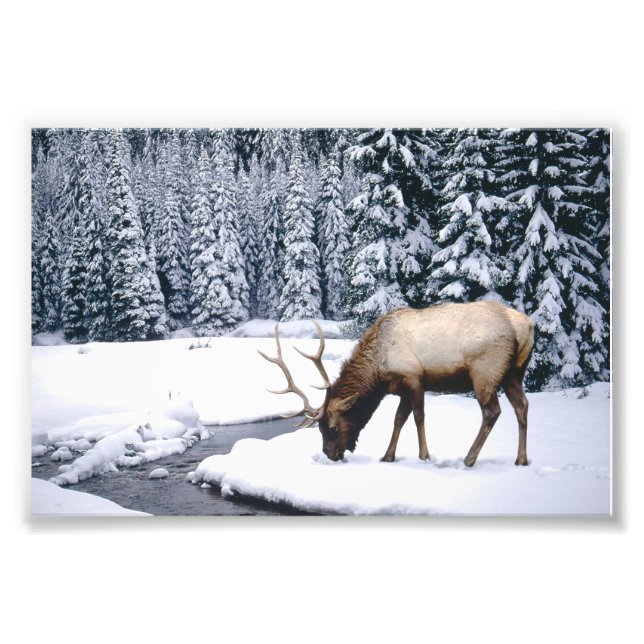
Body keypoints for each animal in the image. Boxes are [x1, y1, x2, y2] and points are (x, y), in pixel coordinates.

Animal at [259, 301, 534, 467]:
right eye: (319, 428)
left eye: (333, 427)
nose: (330, 455)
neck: (379, 370)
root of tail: (527, 326)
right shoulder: (401, 389)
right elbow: (399, 419)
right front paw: (387, 456)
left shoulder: (414, 377)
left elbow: (418, 417)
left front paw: (424, 456)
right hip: (514, 373)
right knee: (522, 406)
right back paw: (521, 459)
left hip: (485, 372)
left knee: (492, 412)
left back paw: (469, 458)